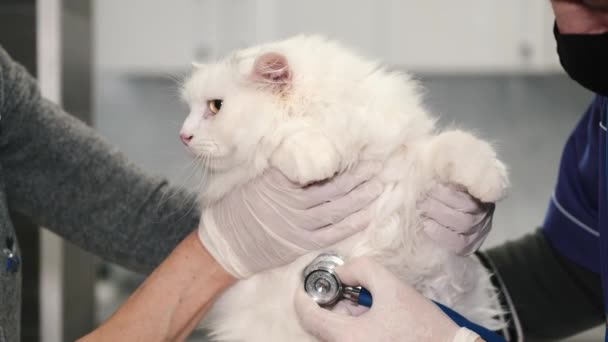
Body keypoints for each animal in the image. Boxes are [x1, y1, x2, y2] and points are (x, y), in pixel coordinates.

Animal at [179, 36, 508, 340]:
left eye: (215, 106)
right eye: (192, 109)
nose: (184, 135)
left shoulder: (408, 188)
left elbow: (454, 146)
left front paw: (491, 183)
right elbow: (284, 142)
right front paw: (316, 160)